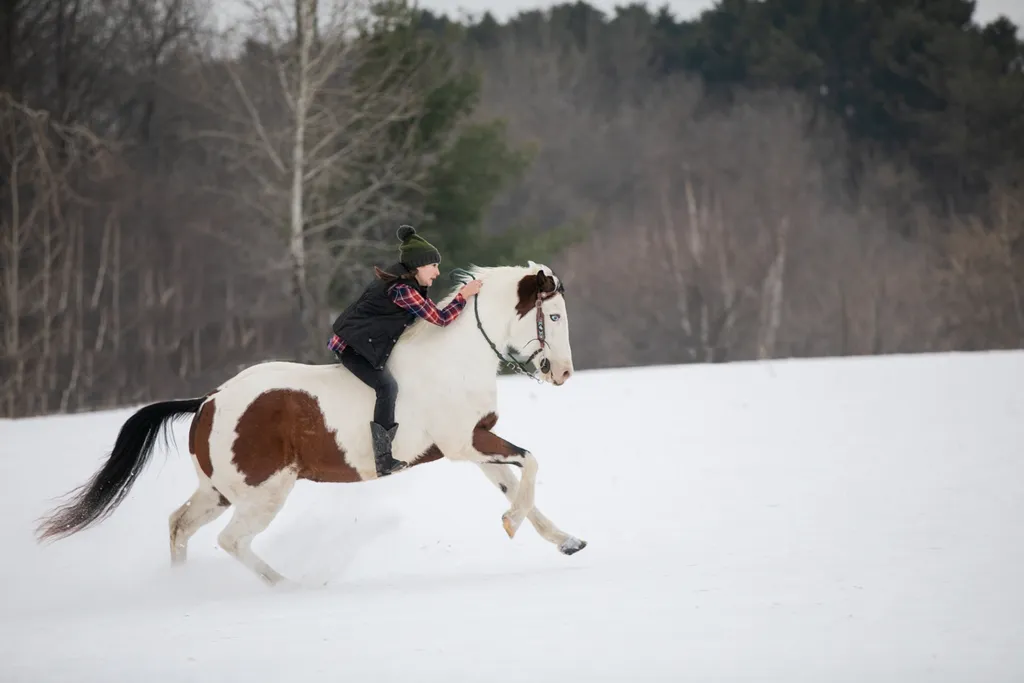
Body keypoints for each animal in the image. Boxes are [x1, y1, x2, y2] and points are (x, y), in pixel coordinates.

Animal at [34, 262, 587, 586]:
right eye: (555, 316)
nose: (562, 373)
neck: (455, 359)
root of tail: (209, 401)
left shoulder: (472, 445)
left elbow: (517, 482)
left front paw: (566, 541)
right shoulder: (465, 441)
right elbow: (529, 464)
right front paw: (514, 523)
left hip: (220, 491)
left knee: (178, 525)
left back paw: (180, 589)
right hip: (263, 493)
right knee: (231, 542)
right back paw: (287, 587)